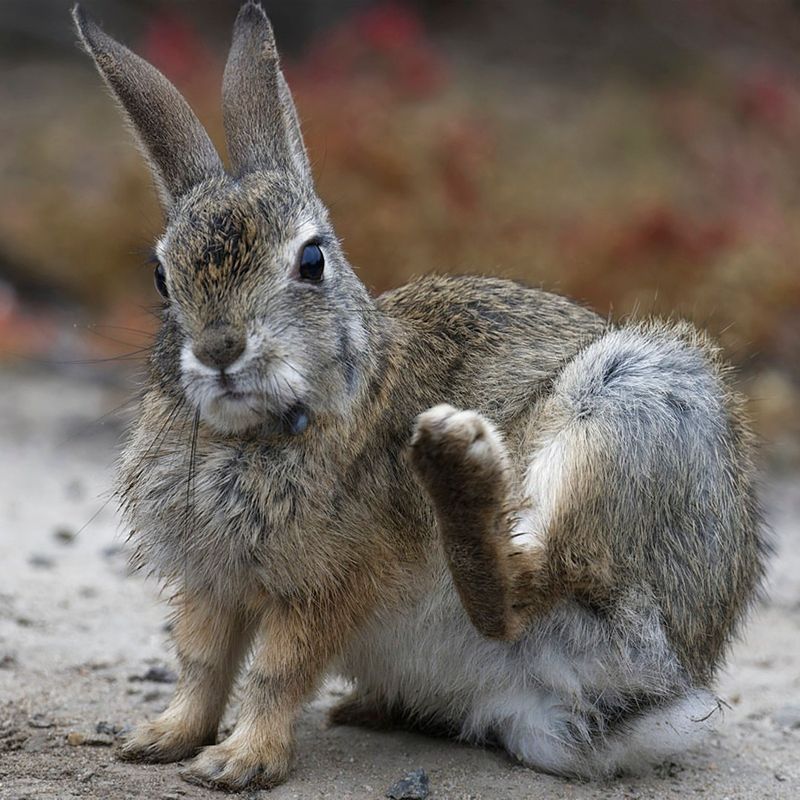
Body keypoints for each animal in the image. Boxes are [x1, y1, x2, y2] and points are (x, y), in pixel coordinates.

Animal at [73, 1, 769, 792]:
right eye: (162, 276)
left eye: (311, 261)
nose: (220, 349)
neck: (264, 430)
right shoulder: (212, 583)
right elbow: (201, 663)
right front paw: (160, 740)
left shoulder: (328, 585)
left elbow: (278, 672)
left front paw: (238, 762)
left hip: (637, 408)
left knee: (525, 593)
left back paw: (455, 461)